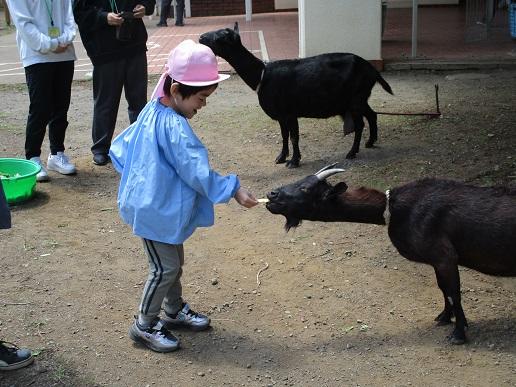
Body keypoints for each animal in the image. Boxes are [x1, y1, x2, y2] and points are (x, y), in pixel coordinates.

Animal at [200, 25, 394, 168]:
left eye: (219, 38)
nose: (201, 38)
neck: (262, 75)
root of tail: (371, 69)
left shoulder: (290, 112)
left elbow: (294, 136)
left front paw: (294, 161)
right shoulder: (281, 116)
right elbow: (284, 135)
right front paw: (281, 157)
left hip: (355, 99)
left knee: (360, 124)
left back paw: (352, 152)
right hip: (359, 99)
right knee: (372, 115)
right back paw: (370, 142)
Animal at [266, 165, 516, 344]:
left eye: (306, 189)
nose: (272, 193)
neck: (393, 208)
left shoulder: (444, 256)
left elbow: (453, 292)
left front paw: (459, 334)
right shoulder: (438, 261)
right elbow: (443, 289)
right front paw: (444, 318)